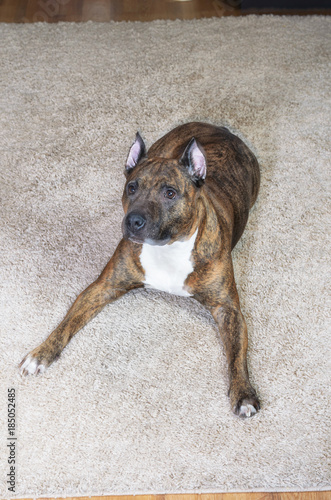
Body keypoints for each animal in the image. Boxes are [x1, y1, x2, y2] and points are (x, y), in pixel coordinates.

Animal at [19, 122, 260, 418]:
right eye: (131, 188)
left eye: (170, 193)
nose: (133, 220)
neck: (167, 248)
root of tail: (221, 129)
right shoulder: (104, 287)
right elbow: (66, 324)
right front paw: (41, 353)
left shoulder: (228, 309)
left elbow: (237, 355)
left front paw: (244, 393)